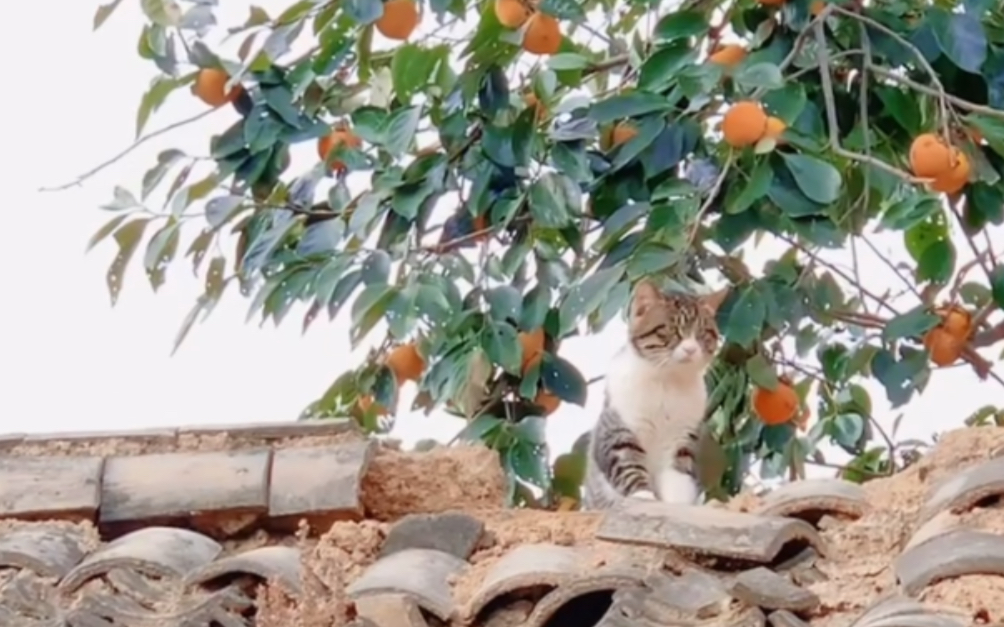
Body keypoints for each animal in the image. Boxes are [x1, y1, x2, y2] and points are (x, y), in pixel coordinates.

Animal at [582, 278, 730, 509]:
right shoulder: (617, 429)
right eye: (672, 330)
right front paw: (643, 495)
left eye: (702, 333)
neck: (665, 384)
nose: (690, 349)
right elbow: (628, 464)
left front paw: (676, 506)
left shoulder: (681, 440)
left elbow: (678, 479)